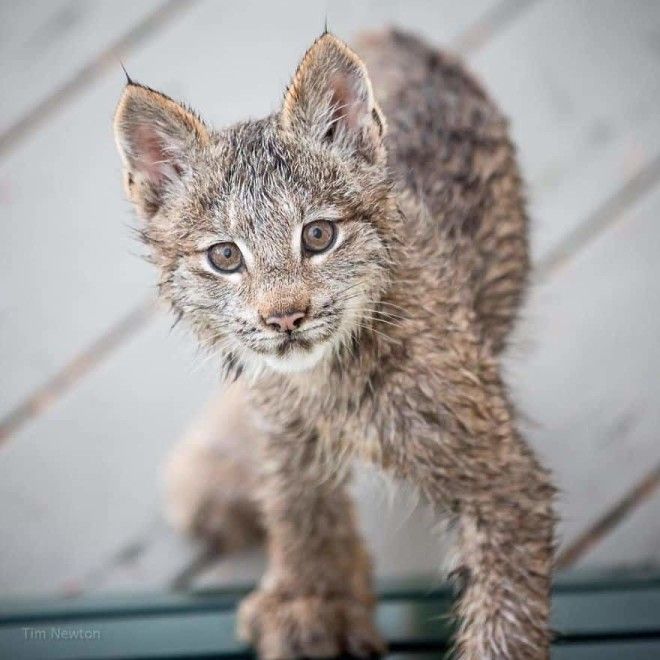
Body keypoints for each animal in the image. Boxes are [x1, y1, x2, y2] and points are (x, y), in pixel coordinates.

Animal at [114, 28, 556, 656]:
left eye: (319, 236)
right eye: (225, 256)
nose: (284, 318)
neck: (325, 379)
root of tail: (398, 32)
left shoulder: (503, 482)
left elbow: (505, 621)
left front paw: (316, 602)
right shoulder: (285, 427)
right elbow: (298, 506)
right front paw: (313, 600)